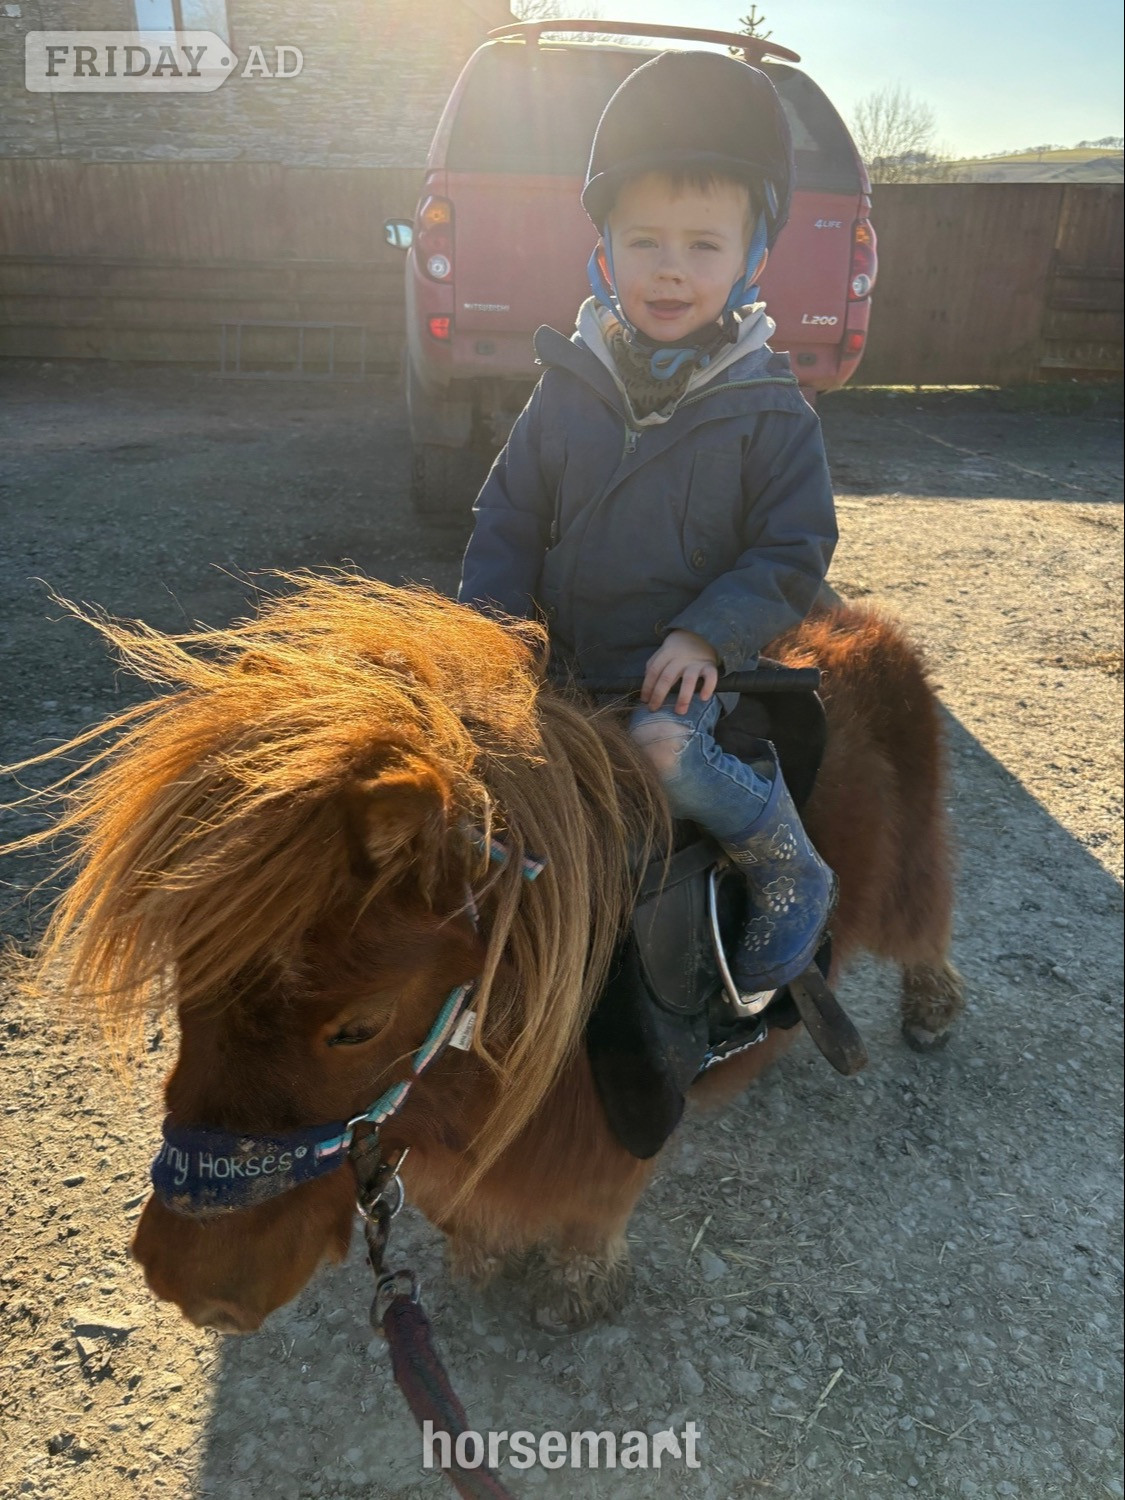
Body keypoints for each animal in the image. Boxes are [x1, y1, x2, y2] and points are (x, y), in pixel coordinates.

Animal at [12, 574, 963, 1334]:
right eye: (186, 984)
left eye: (357, 1028)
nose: (189, 1284)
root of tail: (862, 623)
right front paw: (480, 1258)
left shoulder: (613, 1138)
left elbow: (589, 1219)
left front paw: (574, 1291)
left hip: (906, 872)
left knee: (927, 928)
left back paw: (929, 1007)